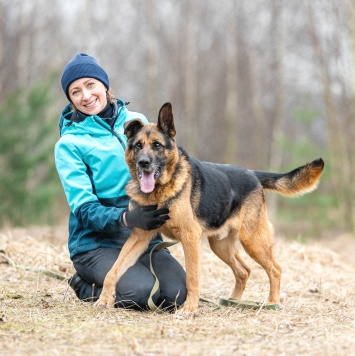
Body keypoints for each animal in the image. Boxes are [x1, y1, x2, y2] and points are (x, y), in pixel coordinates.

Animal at [95, 102, 326, 312]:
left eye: (157, 145)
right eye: (138, 145)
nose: (143, 163)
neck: (160, 193)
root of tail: (252, 174)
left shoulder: (190, 237)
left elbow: (192, 277)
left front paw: (190, 308)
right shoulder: (139, 236)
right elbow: (112, 270)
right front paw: (104, 299)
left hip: (252, 240)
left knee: (275, 270)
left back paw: (272, 303)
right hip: (220, 246)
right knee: (244, 271)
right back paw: (232, 302)